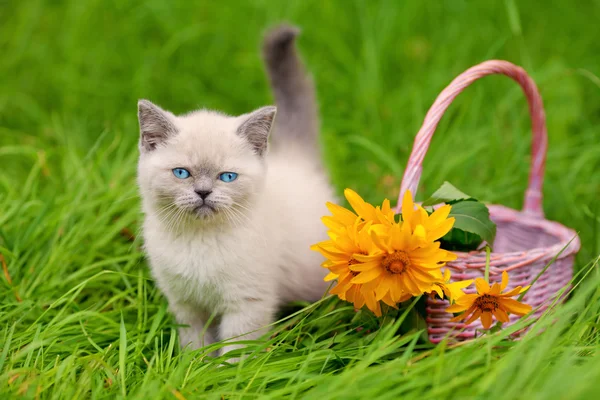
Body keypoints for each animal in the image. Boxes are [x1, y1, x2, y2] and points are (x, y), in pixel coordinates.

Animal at [136, 25, 336, 356]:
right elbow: (195, 346)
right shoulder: (187, 306)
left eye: (227, 176)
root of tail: (296, 160)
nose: (203, 192)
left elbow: (235, 352)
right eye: (182, 173)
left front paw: (223, 371)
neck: (200, 242)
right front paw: (194, 367)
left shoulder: (246, 304)